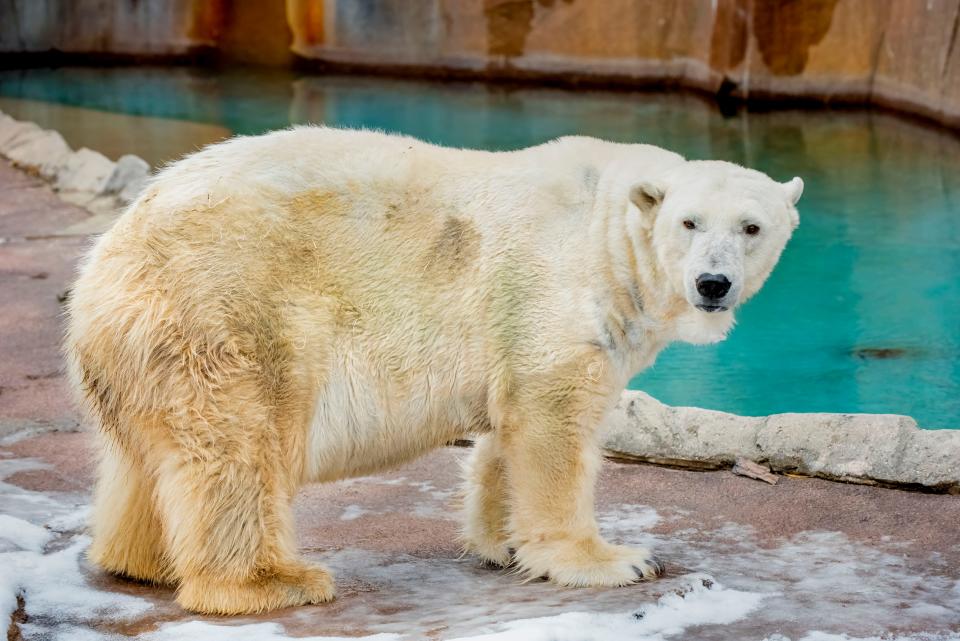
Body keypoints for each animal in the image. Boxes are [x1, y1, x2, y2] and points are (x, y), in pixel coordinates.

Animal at [65, 127, 804, 612]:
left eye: (752, 227)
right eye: (689, 222)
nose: (713, 284)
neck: (605, 227)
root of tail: (106, 260)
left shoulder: (513, 324)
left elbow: (508, 426)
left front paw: (502, 543)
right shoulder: (553, 288)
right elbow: (553, 420)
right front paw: (609, 559)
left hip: (148, 343)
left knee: (148, 457)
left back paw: (143, 561)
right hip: (226, 307)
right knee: (241, 447)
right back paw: (272, 581)